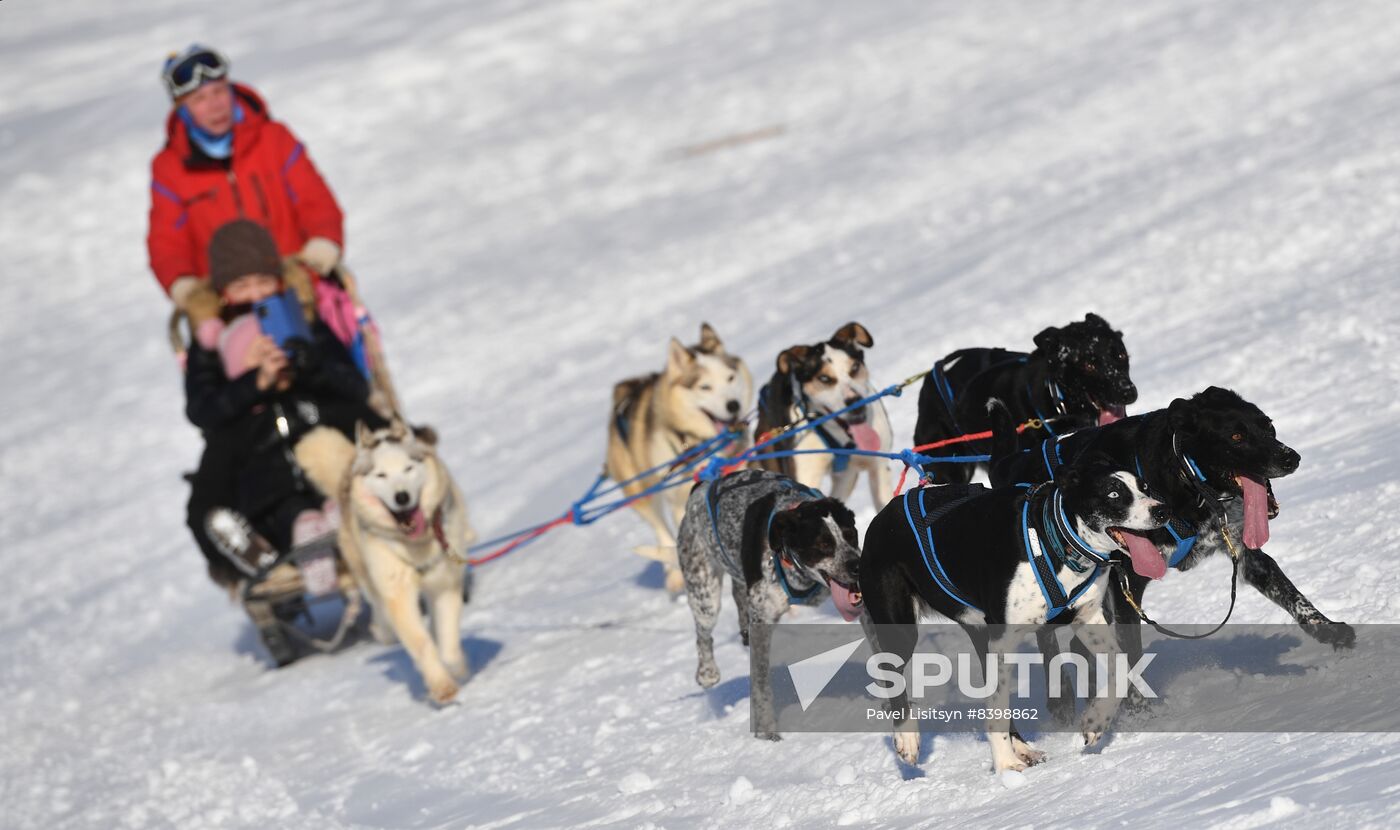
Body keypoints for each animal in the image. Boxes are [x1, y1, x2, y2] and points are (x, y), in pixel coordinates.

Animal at [604, 321, 756, 587]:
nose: (733, 405)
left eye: (730, 377)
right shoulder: (679, 502)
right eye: (705, 387)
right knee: (660, 528)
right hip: (641, 492)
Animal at [677, 470, 862, 739]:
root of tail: (700, 487)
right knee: (703, 635)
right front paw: (766, 732)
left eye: (851, 535)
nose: (858, 565)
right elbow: (761, 685)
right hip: (704, 593)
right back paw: (707, 672)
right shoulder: (762, 622)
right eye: (823, 545)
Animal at [856, 459, 1164, 772]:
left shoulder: (1088, 620)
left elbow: (1122, 667)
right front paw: (1005, 766)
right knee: (892, 673)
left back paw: (1024, 749)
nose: (1160, 510)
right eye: (1113, 494)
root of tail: (882, 517)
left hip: (980, 634)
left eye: (1145, 487)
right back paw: (907, 738)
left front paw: (1096, 719)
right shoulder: (1004, 639)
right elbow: (998, 712)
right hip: (900, 629)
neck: (1053, 538)